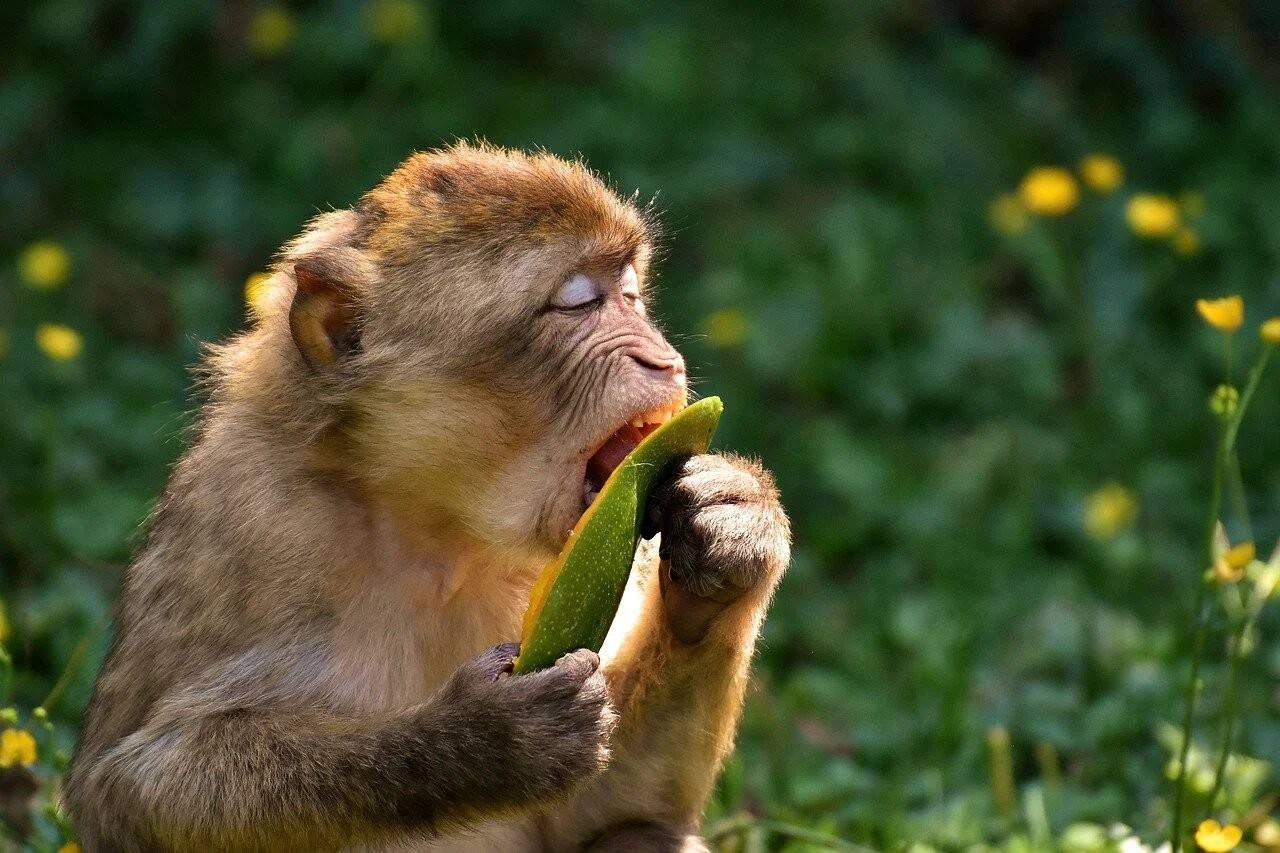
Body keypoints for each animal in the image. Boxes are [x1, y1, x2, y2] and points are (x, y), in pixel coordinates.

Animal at [64, 142, 791, 852]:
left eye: (631, 294)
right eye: (579, 302)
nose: (663, 361)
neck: (434, 525)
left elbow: (612, 812)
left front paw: (731, 534)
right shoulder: (251, 517)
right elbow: (130, 786)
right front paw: (482, 742)